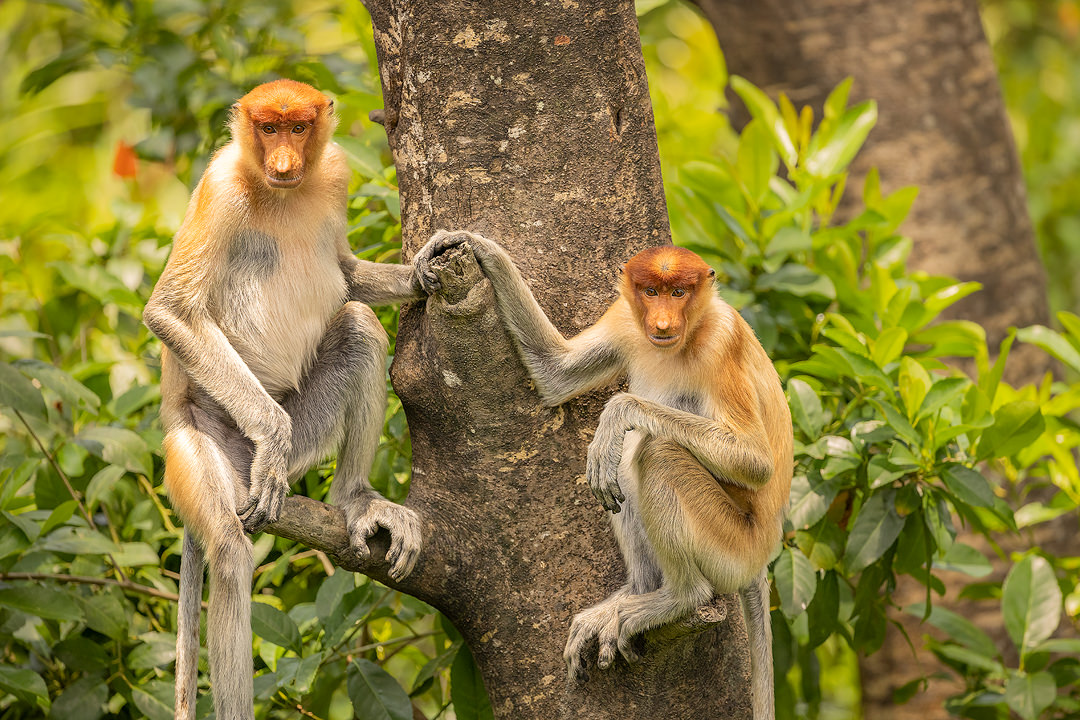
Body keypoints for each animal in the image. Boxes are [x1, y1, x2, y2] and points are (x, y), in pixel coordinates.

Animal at [146, 78, 442, 720]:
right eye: (269, 127)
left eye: (299, 127)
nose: (283, 161)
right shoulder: (222, 188)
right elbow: (171, 311)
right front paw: (274, 436)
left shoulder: (333, 172)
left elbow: (347, 275)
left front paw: (423, 275)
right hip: (196, 445)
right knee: (229, 553)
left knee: (358, 325)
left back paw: (357, 502)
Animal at [419, 234, 794, 716]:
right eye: (651, 292)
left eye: (679, 292)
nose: (663, 321)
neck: (686, 335)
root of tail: (764, 551)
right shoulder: (624, 319)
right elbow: (555, 372)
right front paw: (474, 247)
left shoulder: (720, 341)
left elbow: (755, 461)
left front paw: (617, 413)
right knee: (625, 469)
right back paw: (634, 593)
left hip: (732, 545)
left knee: (656, 452)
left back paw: (680, 597)